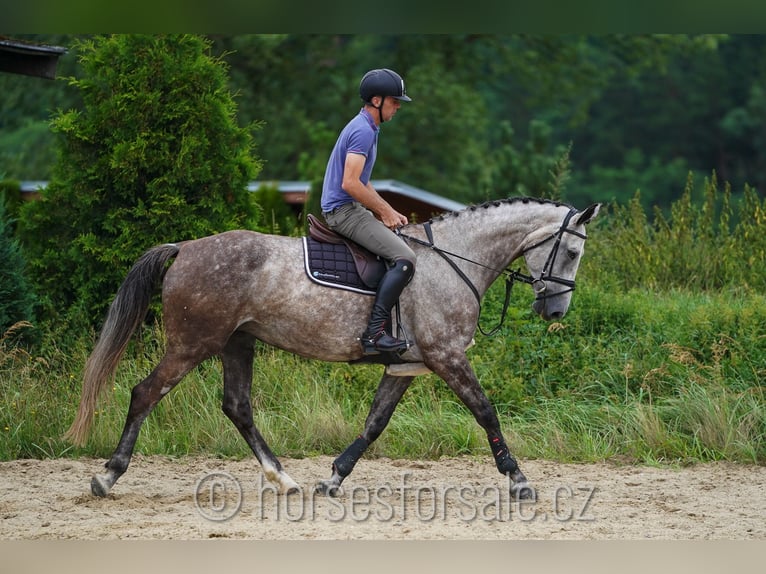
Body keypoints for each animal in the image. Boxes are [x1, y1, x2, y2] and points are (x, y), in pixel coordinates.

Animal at [66, 199, 604, 504]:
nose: (555, 311)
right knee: (145, 393)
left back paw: (284, 480)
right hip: (193, 343)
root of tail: (185, 247)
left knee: (237, 406)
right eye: (573, 252)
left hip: (238, 343)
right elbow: (486, 411)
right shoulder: (447, 356)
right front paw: (519, 481)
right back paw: (107, 478)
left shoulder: (406, 366)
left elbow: (374, 423)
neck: (455, 260)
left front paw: (333, 480)